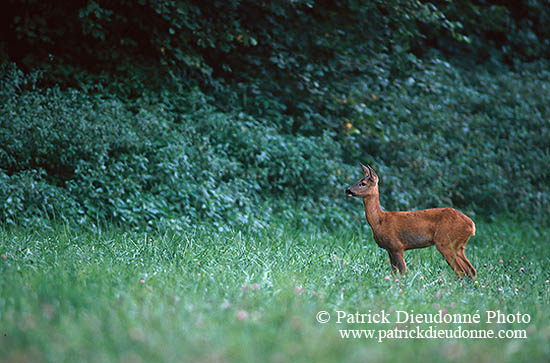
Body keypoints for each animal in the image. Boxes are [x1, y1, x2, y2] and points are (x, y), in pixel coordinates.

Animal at [348, 164, 476, 280]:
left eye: (363, 183)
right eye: (358, 181)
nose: (347, 190)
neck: (379, 221)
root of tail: (472, 225)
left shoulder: (397, 246)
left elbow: (404, 273)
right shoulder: (390, 249)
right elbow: (395, 273)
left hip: (446, 242)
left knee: (461, 272)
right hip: (458, 246)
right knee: (471, 270)